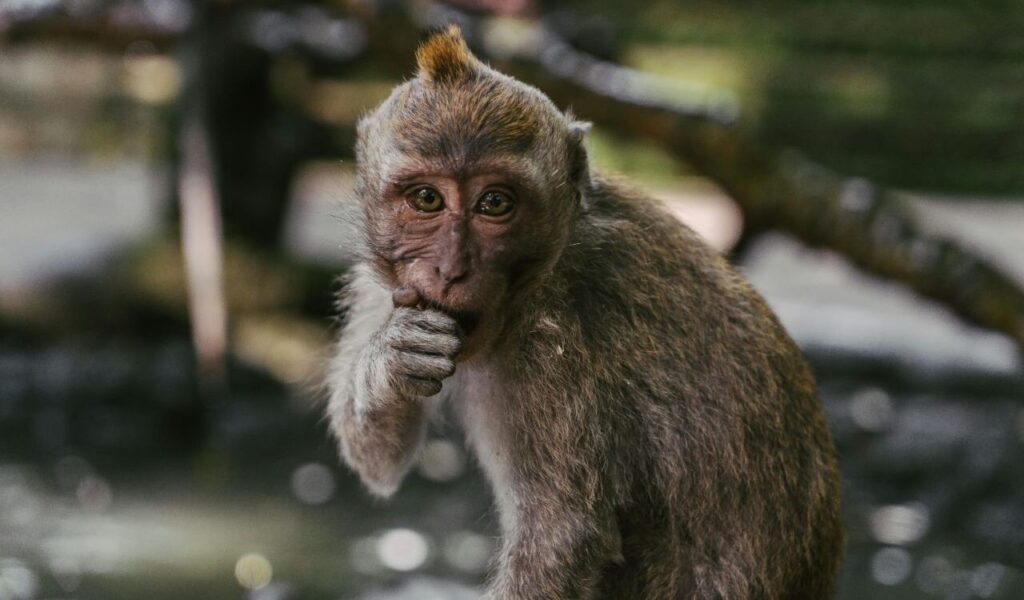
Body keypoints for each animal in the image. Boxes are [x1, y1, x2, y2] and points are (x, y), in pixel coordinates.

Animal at [326, 25, 844, 599]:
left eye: (495, 203)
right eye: (426, 199)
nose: (451, 269)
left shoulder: (557, 342)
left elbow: (564, 536)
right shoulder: (382, 286)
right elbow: (378, 461)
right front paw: (390, 362)